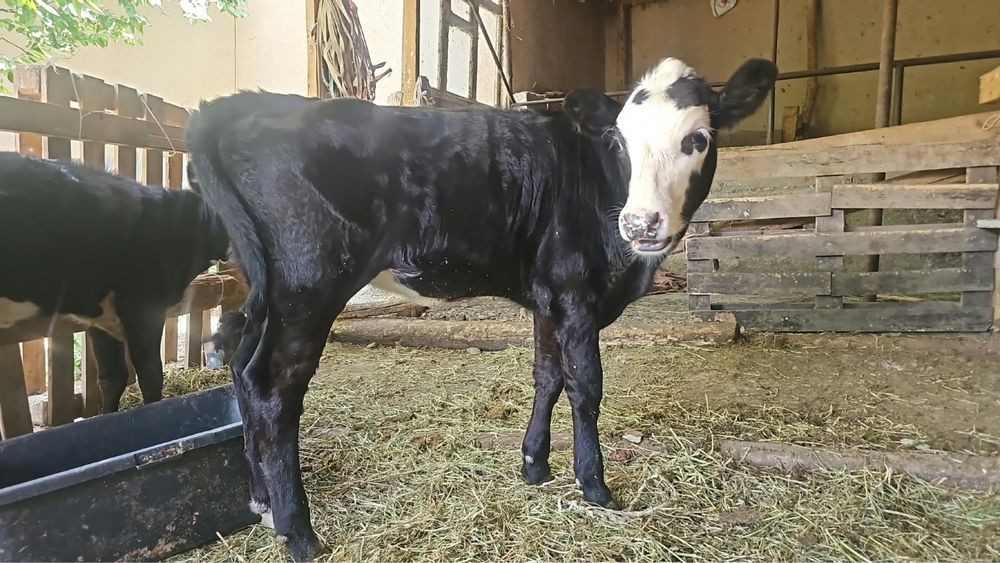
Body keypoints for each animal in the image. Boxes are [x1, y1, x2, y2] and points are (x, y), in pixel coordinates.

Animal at [188, 56, 777, 560]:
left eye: (696, 139)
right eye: (620, 141)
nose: (641, 223)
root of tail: (233, 106)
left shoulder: (548, 294)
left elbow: (547, 375)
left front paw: (534, 464)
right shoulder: (575, 289)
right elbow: (585, 386)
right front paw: (594, 485)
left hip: (263, 285)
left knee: (240, 363)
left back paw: (261, 500)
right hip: (309, 283)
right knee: (273, 388)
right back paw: (298, 532)